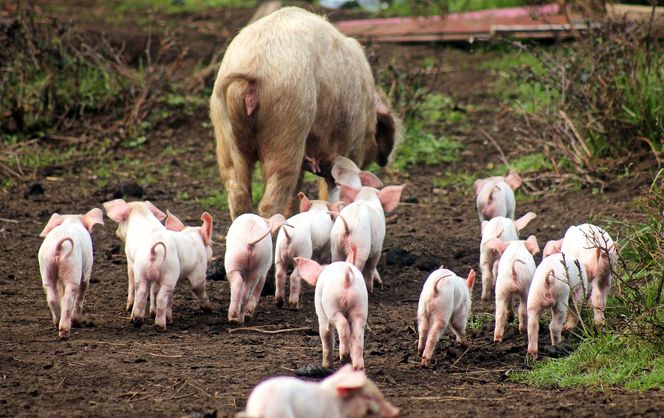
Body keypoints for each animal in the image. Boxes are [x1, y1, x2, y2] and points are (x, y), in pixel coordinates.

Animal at [38, 208, 104, 339]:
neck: (71, 220)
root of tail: (59, 247)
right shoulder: (87, 268)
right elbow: (84, 287)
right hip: (73, 267)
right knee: (70, 297)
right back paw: (65, 332)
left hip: (46, 266)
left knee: (52, 297)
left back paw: (57, 324)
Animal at [210, 6, 400, 220]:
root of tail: (252, 69)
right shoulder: (351, 144)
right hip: (288, 122)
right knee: (270, 200)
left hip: (224, 130)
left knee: (238, 191)